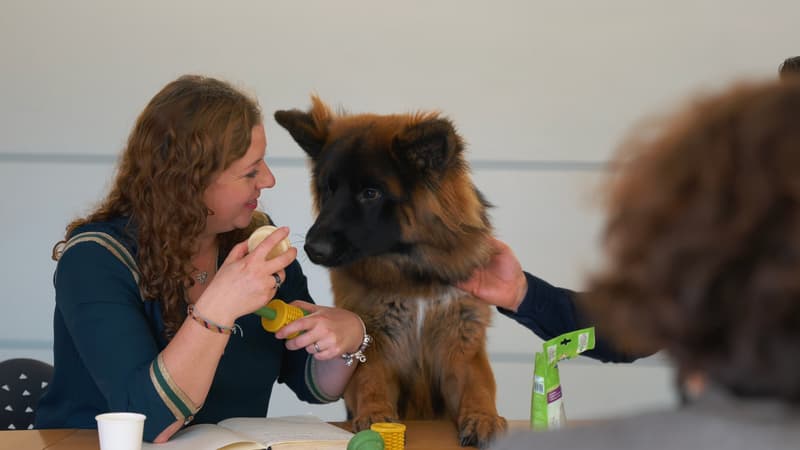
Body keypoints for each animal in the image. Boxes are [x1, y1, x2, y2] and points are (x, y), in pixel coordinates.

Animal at [272, 96, 504, 446]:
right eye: (328, 189)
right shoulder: (374, 341)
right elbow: (370, 379)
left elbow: (477, 385)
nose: (312, 249)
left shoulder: (461, 342)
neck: (413, 276)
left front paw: (483, 417)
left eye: (371, 193)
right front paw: (375, 415)